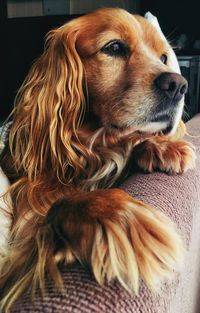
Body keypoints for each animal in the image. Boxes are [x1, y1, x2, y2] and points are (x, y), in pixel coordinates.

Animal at [0, 7, 195, 312]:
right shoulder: (21, 237)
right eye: (114, 47)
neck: (93, 148)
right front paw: (121, 218)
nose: (177, 85)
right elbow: (67, 200)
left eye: (164, 58)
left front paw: (162, 146)